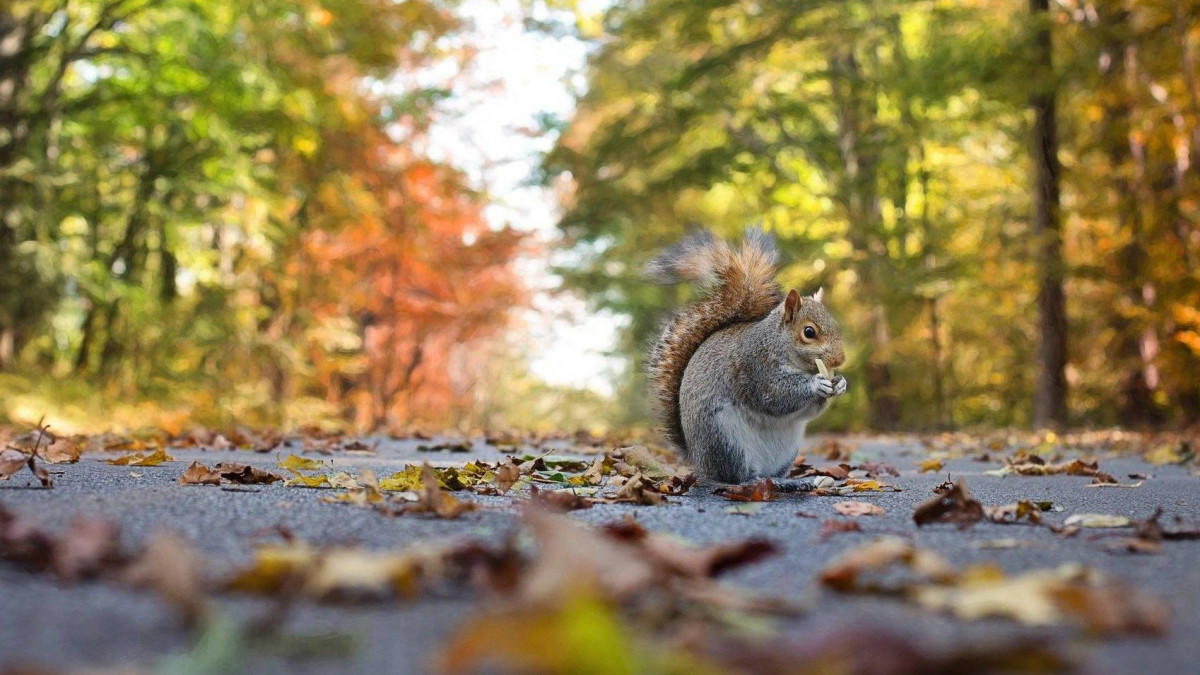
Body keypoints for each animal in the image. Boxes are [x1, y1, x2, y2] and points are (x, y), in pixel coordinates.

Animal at [643, 229, 849, 482]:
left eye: (835, 325)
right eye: (809, 332)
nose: (840, 360)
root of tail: (698, 462)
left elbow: (809, 410)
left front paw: (840, 383)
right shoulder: (755, 366)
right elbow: (774, 396)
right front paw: (817, 383)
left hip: (787, 451)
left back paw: (783, 480)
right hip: (724, 440)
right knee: (736, 476)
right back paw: (757, 480)